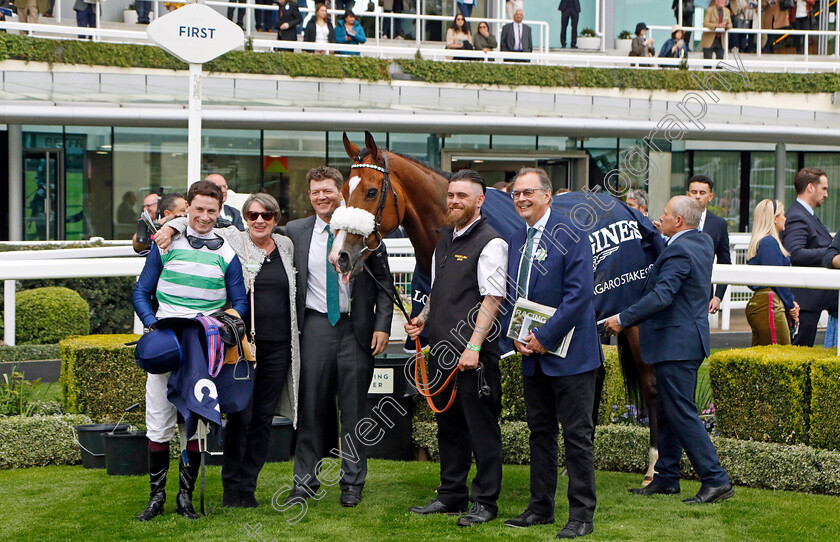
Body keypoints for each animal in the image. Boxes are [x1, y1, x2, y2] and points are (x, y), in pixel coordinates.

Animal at [330, 131, 664, 484]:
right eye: (343, 191)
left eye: (371, 191)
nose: (340, 255)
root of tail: (634, 215)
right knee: (593, 373)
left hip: (632, 316)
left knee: (651, 384)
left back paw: (653, 468)